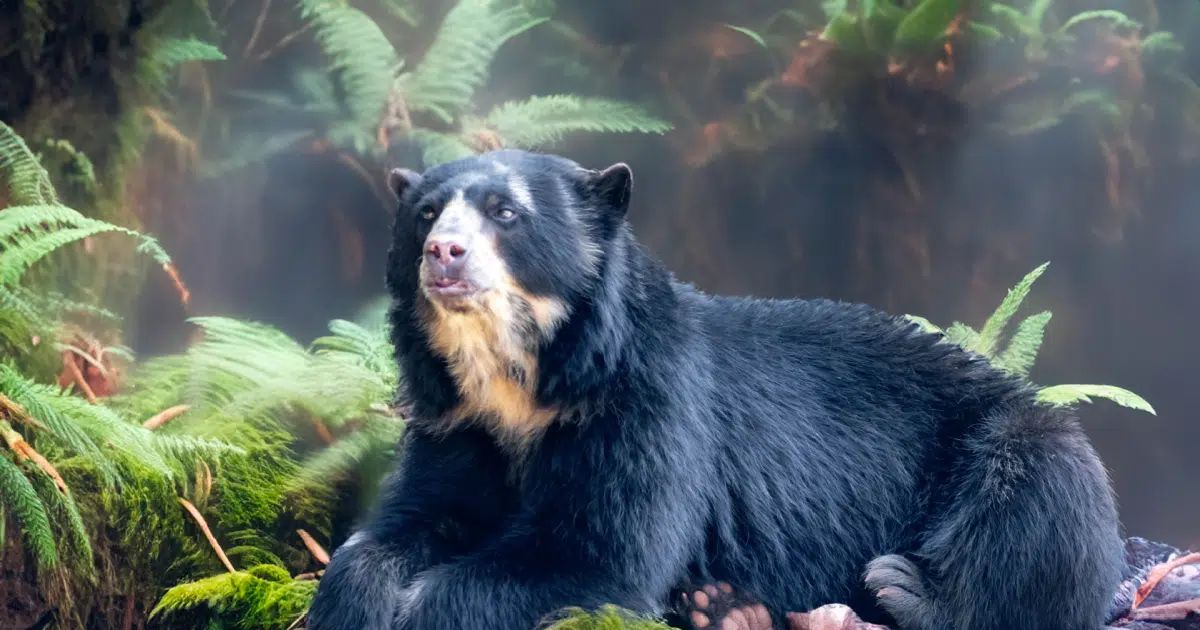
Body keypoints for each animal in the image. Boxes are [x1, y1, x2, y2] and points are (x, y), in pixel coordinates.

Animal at [306, 149, 1124, 630]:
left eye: (506, 212)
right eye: (424, 215)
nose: (444, 253)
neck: (520, 379)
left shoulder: (648, 409)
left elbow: (599, 556)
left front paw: (420, 609)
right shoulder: (455, 424)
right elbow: (406, 523)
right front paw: (354, 601)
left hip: (1017, 439)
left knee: (1036, 506)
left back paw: (903, 590)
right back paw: (722, 607)